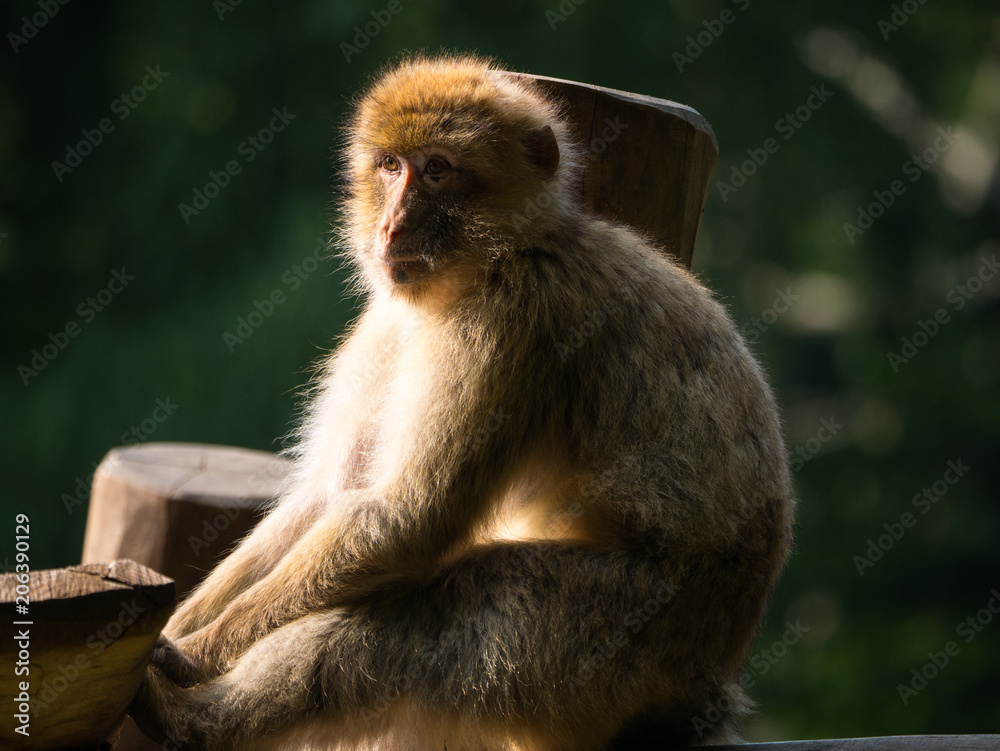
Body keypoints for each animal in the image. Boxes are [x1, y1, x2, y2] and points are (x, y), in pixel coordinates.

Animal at [131, 54, 795, 751]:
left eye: (438, 169)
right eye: (391, 165)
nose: (392, 225)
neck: (499, 257)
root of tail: (713, 684)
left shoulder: (512, 320)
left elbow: (408, 516)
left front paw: (196, 654)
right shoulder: (389, 320)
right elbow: (331, 493)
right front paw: (179, 625)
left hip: (621, 634)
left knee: (417, 625)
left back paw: (189, 723)